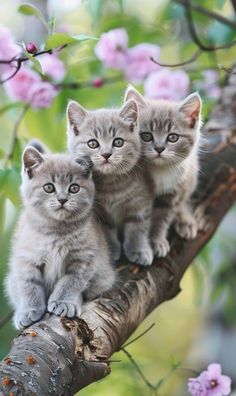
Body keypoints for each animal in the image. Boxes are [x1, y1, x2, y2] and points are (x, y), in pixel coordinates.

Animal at [5, 147, 115, 330]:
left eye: (74, 188)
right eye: (49, 187)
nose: (62, 199)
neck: (57, 231)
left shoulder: (84, 259)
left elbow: (71, 282)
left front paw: (64, 302)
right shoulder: (26, 259)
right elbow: (29, 285)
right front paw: (29, 310)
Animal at [66, 99, 155, 266]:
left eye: (118, 142)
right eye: (93, 144)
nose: (106, 154)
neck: (112, 185)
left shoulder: (141, 200)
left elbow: (137, 227)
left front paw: (138, 249)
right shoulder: (98, 212)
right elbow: (106, 230)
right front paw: (111, 250)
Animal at [124, 86, 202, 256]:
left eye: (173, 137)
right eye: (146, 136)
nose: (159, 148)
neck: (159, 170)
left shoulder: (171, 192)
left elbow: (162, 218)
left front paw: (157, 240)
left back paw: (185, 220)